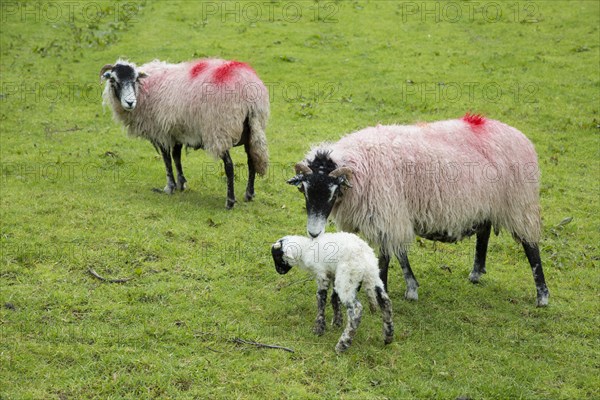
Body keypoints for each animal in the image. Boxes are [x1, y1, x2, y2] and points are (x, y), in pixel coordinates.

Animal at [101, 59, 270, 211]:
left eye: (135, 79)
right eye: (113, 80)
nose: (130, 102)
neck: (144, 89)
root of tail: (249, 93)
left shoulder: (161, 132)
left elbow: (167, 160)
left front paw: (169, 187)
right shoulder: (177, 131)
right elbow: (176, 157)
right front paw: (181, 184)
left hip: (220, 131)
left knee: (229, 166)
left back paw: (230, 202)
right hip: (252, 131)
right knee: (251, 161)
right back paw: (249, 194)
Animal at [288, 114, 552, 308]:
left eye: (332, 191)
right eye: (304, 190)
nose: (313, 233)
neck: (361, 165)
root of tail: (518, 135)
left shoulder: (389, 213)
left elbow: (386, 256)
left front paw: (383, 289)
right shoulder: (395, 214)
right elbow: (401, 254)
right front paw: (411, 287)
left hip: (519, 203)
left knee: (531, 247)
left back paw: (542, 296)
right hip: (485, 202)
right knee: (484, 231)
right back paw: (476, 273)